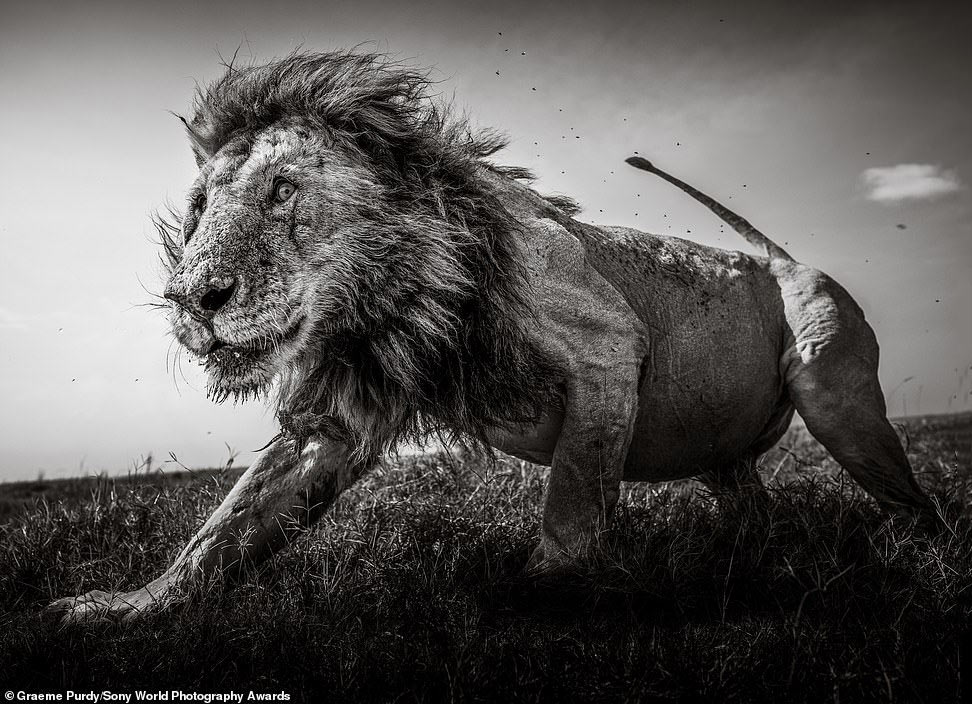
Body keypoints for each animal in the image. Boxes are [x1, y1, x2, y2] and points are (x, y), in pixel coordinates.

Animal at [45, 49, 936, 620]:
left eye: (283, 190)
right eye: (199, 207)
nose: (192, 298)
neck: (392, 297)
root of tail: (787, 260)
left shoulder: (607, 343)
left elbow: (574, 498)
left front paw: (537, 589)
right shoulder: (336, 417)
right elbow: (223, 533)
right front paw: (126, 608)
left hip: (835, 391)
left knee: (912, 497)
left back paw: (916, 556)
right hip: (726, 457)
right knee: (752, 501)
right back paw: (751, 558)